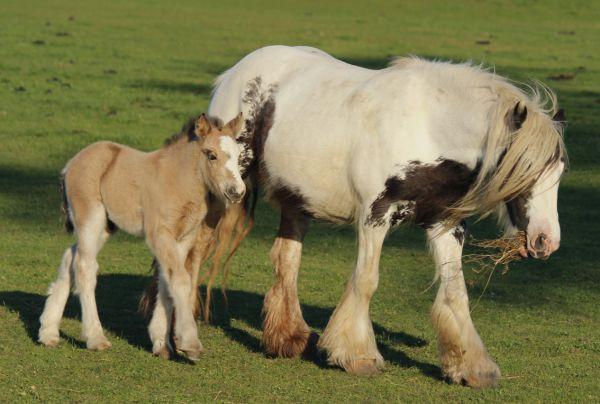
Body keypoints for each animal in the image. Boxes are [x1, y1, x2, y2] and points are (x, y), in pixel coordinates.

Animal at [207, 45, 568, 386]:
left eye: (560, 171)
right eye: (525, 170)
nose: (546, 241)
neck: (427, 126)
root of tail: (234, 73)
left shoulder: (445, 223)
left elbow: (456, 291)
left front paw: (472, 367)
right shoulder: (375, 215)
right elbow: (366, 281)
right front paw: (356, 355)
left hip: (296, 201)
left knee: (287, 261)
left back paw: (288, 338)